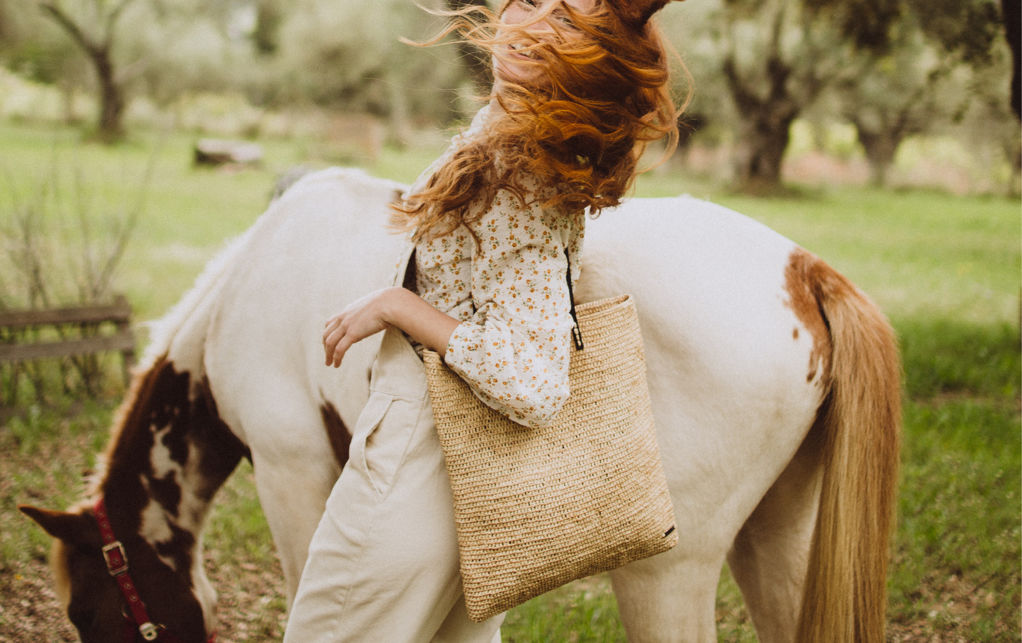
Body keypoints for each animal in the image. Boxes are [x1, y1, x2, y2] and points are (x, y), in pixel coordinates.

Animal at [19, 167, 899, 637]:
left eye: (87, 614)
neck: (244, 291)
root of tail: (806, 273)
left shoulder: (291, 472)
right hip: (776, 539)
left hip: (667, 574)